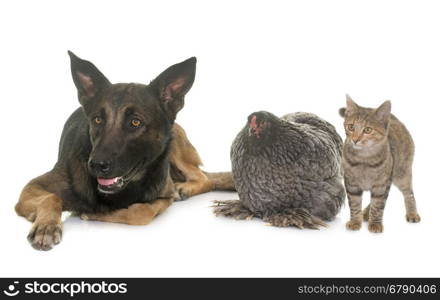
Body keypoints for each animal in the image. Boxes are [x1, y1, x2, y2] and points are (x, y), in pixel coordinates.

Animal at [14, 51, 234, 251]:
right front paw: (47, 226)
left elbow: (141, 213)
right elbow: (51, 197)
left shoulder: (164, 197)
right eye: (97, 120)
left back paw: (185, 188)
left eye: (135, 122)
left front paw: (96, 213)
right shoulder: (31, 188)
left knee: (204, 178)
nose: (96, 165)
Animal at [338, 95, 422, 233]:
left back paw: (412, 213)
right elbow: (355, 204)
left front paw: (375, 223)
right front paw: (355, 221)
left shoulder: (382, 184)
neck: (364, 159)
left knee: (409, 193)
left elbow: (378, 205)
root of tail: (394, 119)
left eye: (367, 130)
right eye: (351, 127)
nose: (355, 140)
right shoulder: (351, 184)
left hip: (401, 174)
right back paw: (365, 213)